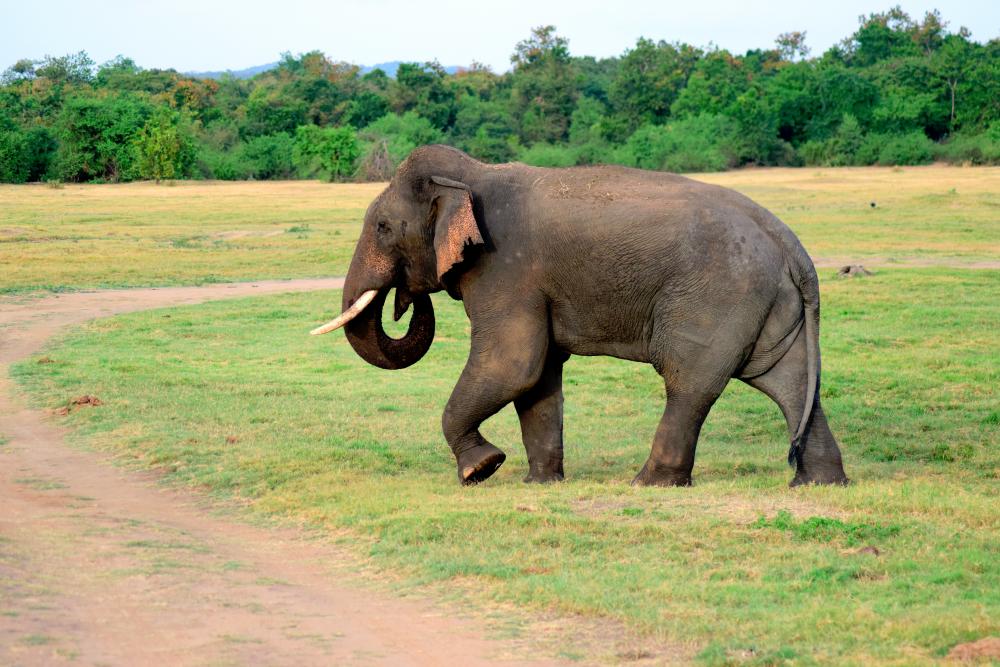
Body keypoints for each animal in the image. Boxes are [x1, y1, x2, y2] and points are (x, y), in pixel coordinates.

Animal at [312, 145, 849, 488]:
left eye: (383, 227)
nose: (404, 297)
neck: (473, 173)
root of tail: (791, 245)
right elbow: (538, 376)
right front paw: (540, 483)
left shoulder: (507, 270)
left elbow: (513, 364)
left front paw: (481, 470)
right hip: (767, 303)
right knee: (790, 382)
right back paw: (818, 484)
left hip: (716, 298)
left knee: (688, 383)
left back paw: (648, 484)